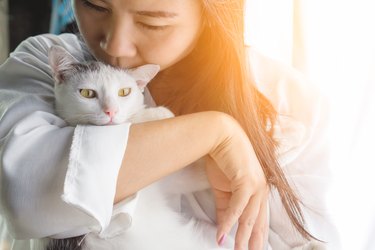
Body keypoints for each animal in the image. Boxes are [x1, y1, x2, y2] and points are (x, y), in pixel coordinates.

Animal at [45, 45, 231, 250]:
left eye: (124, 92)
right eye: (87, 93)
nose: (111, 111)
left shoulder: (168, 180)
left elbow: (192, 176)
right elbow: (128, 124)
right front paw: (159, 113)